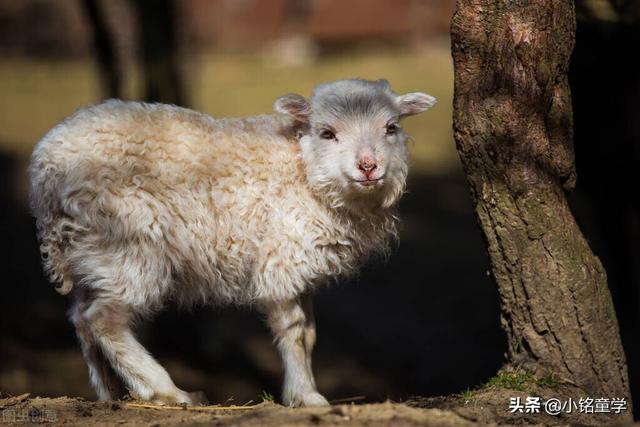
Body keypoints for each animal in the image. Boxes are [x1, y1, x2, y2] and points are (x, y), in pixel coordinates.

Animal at [32, 78, 438, 410]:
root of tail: (45, 167)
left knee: (81, 318)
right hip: (128, 243)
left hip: (90, 251)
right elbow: (294, 332)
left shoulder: (303, 266)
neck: (302, 169)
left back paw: (110, 393)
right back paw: (167, 391)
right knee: (105, 320)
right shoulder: (282, 259)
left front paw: (303, 390)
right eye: (327, 133)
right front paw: (306, 396)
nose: (368, 167)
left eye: (391, 128)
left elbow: (309, 333)